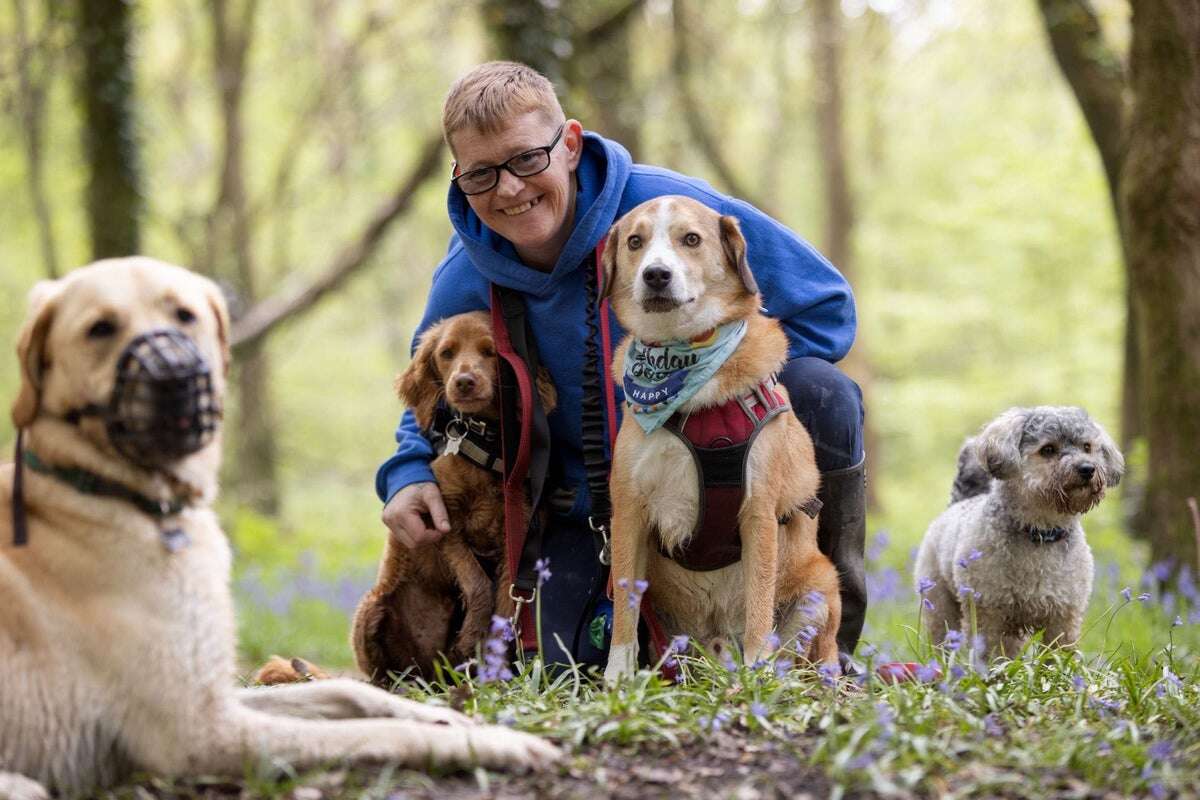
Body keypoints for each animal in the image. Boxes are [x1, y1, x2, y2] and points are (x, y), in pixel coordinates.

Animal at [348, 311, 552, 681]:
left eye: (490, 352)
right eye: (446, 353)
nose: (464, 381)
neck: (487, 446)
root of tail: (424, 671)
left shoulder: (512, 540)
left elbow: (505, 604)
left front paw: (494, 666)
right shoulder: (445, 522)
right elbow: (477, 584)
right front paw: (472, 634)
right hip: (371, 609)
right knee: (380, 674)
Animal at [600, 195, 844, 681]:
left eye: (691, 239)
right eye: (635, 242)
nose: (656, 274)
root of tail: (714, 651)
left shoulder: (758, 515)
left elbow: (758, 607)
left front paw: (757, 676)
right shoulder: (629, 510)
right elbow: (624, 609)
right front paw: (618, 678)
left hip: (820, 590)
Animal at [916, 407, 1123, 657]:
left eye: (1087, 446)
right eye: (1048, 449)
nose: (1087, 468)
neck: (1040, 533)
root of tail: (958, 503)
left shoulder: (1064, 616)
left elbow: (1057, 655)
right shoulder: (989, 613)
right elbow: (991, 655)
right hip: (940, 604)